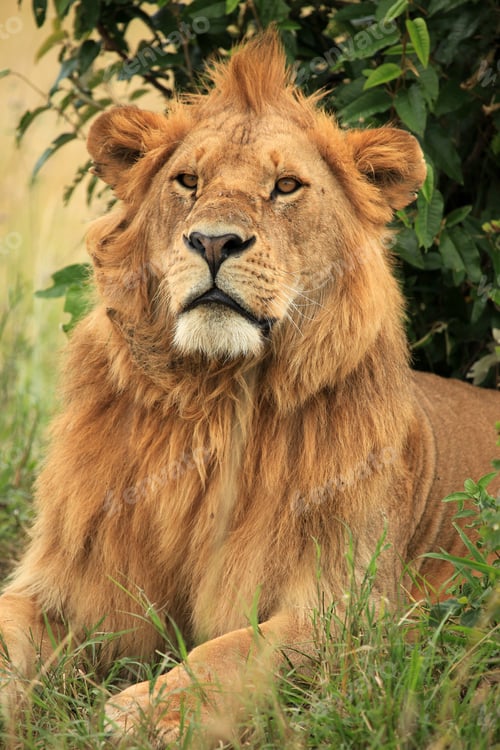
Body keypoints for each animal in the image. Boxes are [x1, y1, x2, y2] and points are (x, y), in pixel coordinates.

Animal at [1, 31, 499, 746]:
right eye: (188, 181)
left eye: (285, 186)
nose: (213, 241)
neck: (212, 398)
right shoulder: (74, 584)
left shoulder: (352, 609)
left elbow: (235, 653)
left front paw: (138, 713)